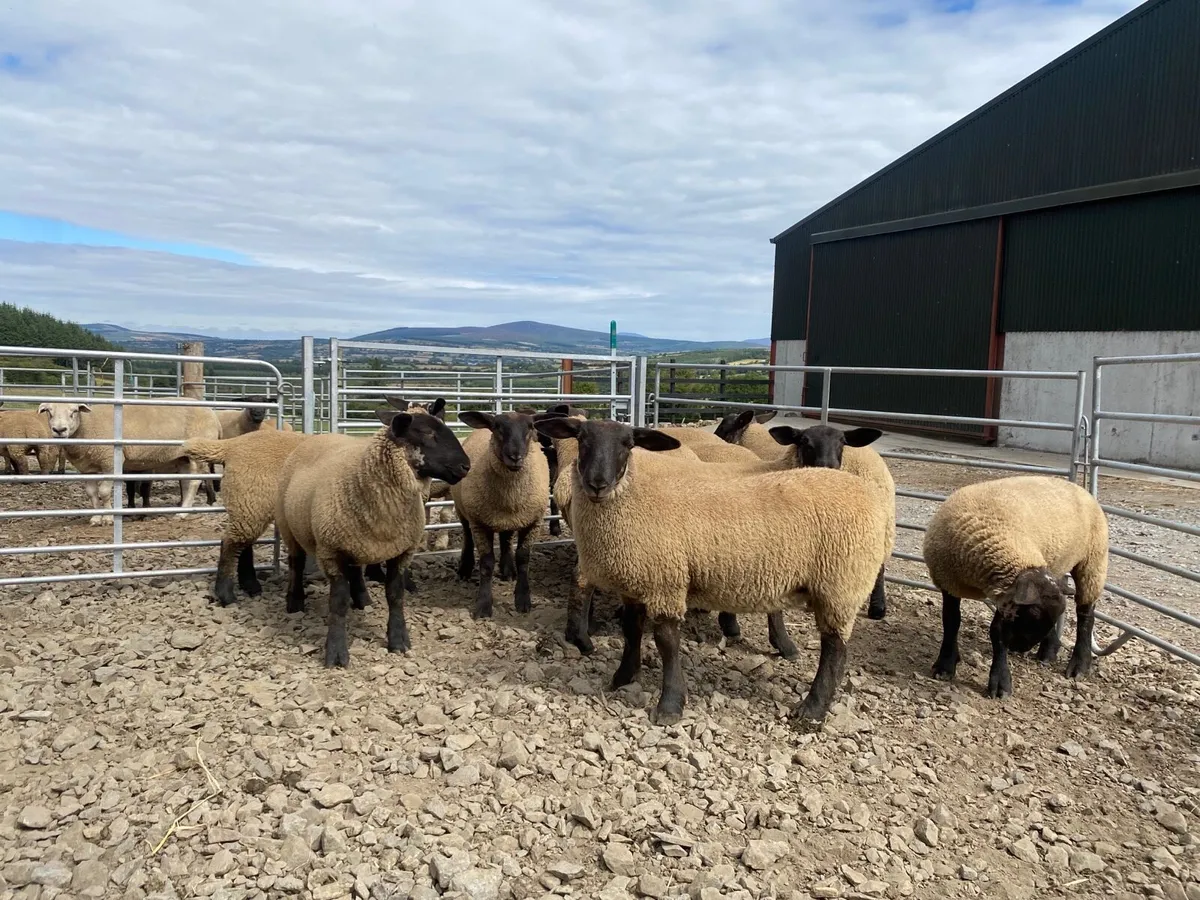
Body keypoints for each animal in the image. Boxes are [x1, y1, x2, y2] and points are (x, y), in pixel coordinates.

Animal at [40, 401, 221, 525]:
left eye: (74, 411)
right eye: (49, 412)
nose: (59, 430)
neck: (86, 428)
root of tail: (214, 415)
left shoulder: (110, 462)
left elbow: (104, 492)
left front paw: (108, 518)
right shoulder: (87, 468)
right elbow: (92, 493)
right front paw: (96, 517)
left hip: (198, 454)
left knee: (194, 482)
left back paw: (182, 513)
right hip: (183, 458)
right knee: (186, 482)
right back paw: (183, 509)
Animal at [182, 427, 310, 606]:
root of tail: (232, 445)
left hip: (246, 505)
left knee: (242, 544)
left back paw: (250, 585)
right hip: (251, 500)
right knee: (231, 543)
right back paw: (227, 594)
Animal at [275, 402, 471, 667]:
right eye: (427, 433)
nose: (466, 466)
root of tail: (316, 436)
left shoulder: (402, 551)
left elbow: (395, 596)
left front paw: (398, 641)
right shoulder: (330, 552)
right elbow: (337, 604)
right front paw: (336, 653)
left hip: (357, 541)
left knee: (356, 569)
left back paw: (362, 599)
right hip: (289, 526)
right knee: (296, 563)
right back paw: (295, 602)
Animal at [451, 408, 567, 619]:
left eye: (530, 426)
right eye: (497, 426)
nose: (515, 456)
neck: (510, 494)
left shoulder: (532, 521)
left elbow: (523, 558)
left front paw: (523, 599)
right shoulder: (479, 522)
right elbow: (487, 563)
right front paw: (483, 605)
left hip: (510, 518)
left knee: (505, 539)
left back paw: (508, 570)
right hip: (463, 508)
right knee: (467, 535)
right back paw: (465, 568)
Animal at [922, 474, 1108, 699]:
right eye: (1034, 613)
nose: (1021, 648)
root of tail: (1079, 488)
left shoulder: (1006, 595)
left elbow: (998, 632)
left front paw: (1000, 682)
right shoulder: (950, 583)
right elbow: (951, 621)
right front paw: (945, 665)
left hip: (1093, 561)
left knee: (1086, 614)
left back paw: (1079, 664)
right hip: (1056, 566)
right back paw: (1048, 651)